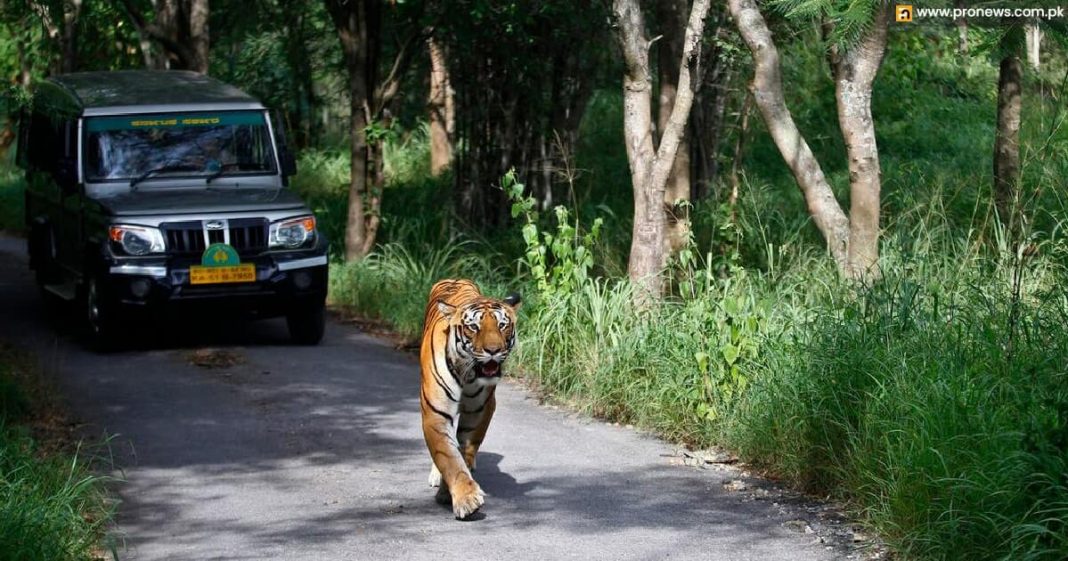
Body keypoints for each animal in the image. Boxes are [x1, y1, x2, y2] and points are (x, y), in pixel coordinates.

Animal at [418, 277, 519, 519]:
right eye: (474, 327)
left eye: (502, 325)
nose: (494, 350)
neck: (468, 374)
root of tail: (455, 278)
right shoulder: (435, 413)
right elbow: (448, 457)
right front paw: (466, 499)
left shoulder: (477, 411)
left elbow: (462, 452)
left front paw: (451, 493)